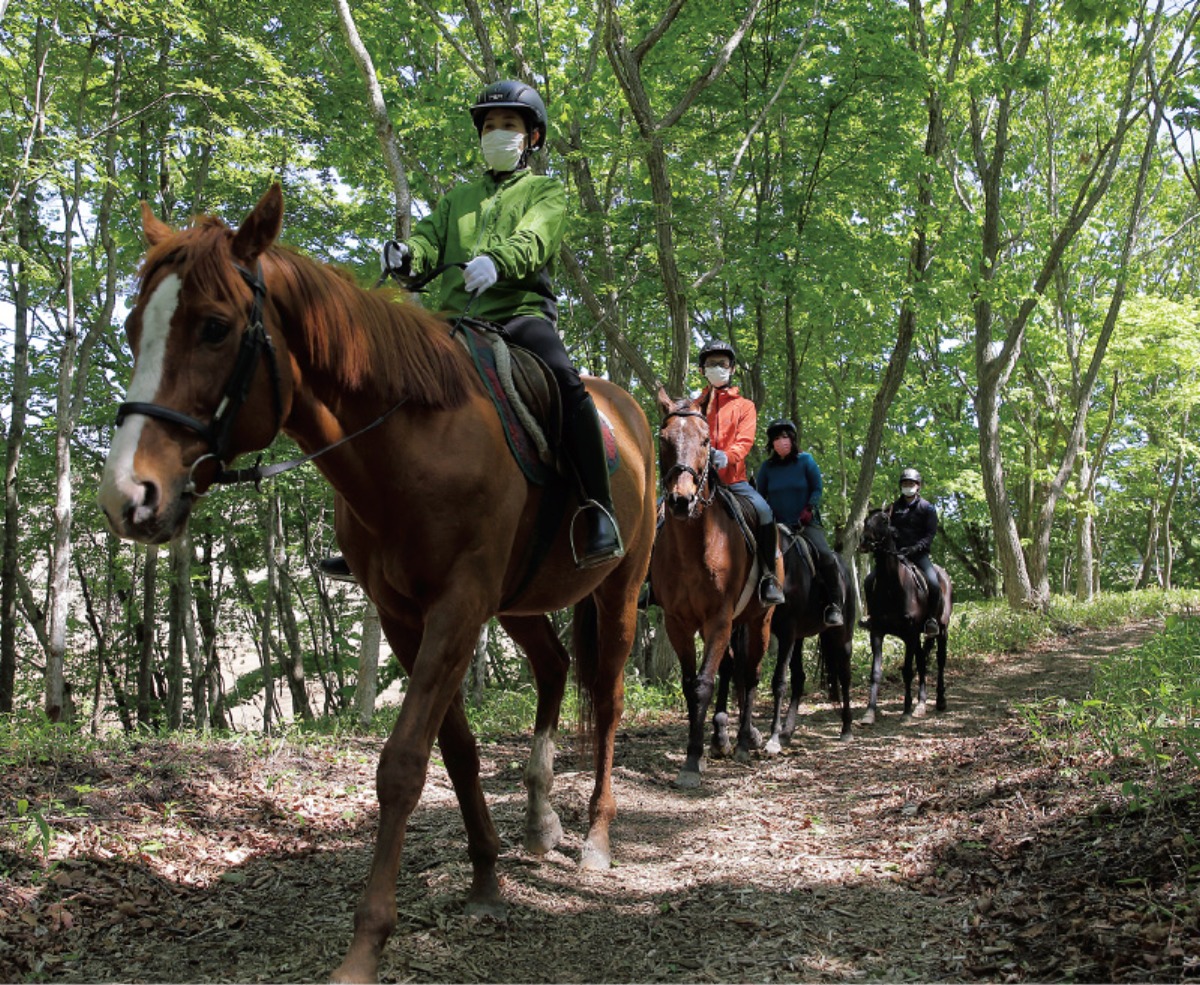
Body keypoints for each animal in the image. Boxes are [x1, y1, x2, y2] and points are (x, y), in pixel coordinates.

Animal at [96, 185, 657, 983]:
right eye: (133, 327)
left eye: (214, 327)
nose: (127, 496)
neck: (414, 440)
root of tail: (632, 412)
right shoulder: (404, 614)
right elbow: (455, 750)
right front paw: (485, 878)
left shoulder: (457, 608)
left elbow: (402, 764)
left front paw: (366, 946)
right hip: (519, 603)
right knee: (552, 668)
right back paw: (540, 818)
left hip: (616, 592)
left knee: (606, 702)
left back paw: (596, 840)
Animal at [648, 388, 777, 787]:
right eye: (664, 439)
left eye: (706, 441)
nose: (681, 500)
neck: (695, 545)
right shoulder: (678, 622)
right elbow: (692, 683)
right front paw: (699, 752)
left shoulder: (719, 618)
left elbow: (704, 683)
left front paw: (692, 762)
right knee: (732, 667)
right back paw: (721, 737)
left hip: (759, 620)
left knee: (750, 673)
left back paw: (743, 742)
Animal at [859, 506, 950, 724]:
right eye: (866, 520)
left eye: (884, 520)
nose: (864, 541)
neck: (892, 587)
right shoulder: (877, 632)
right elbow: (876, 672)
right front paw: (869, 712)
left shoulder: (910, 634)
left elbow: (908, 671)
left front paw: (906, 711)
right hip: (918, 637)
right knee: (923, 661)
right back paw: (921, 704)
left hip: (942, 630)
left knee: (940, 661)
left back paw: (940, 701)